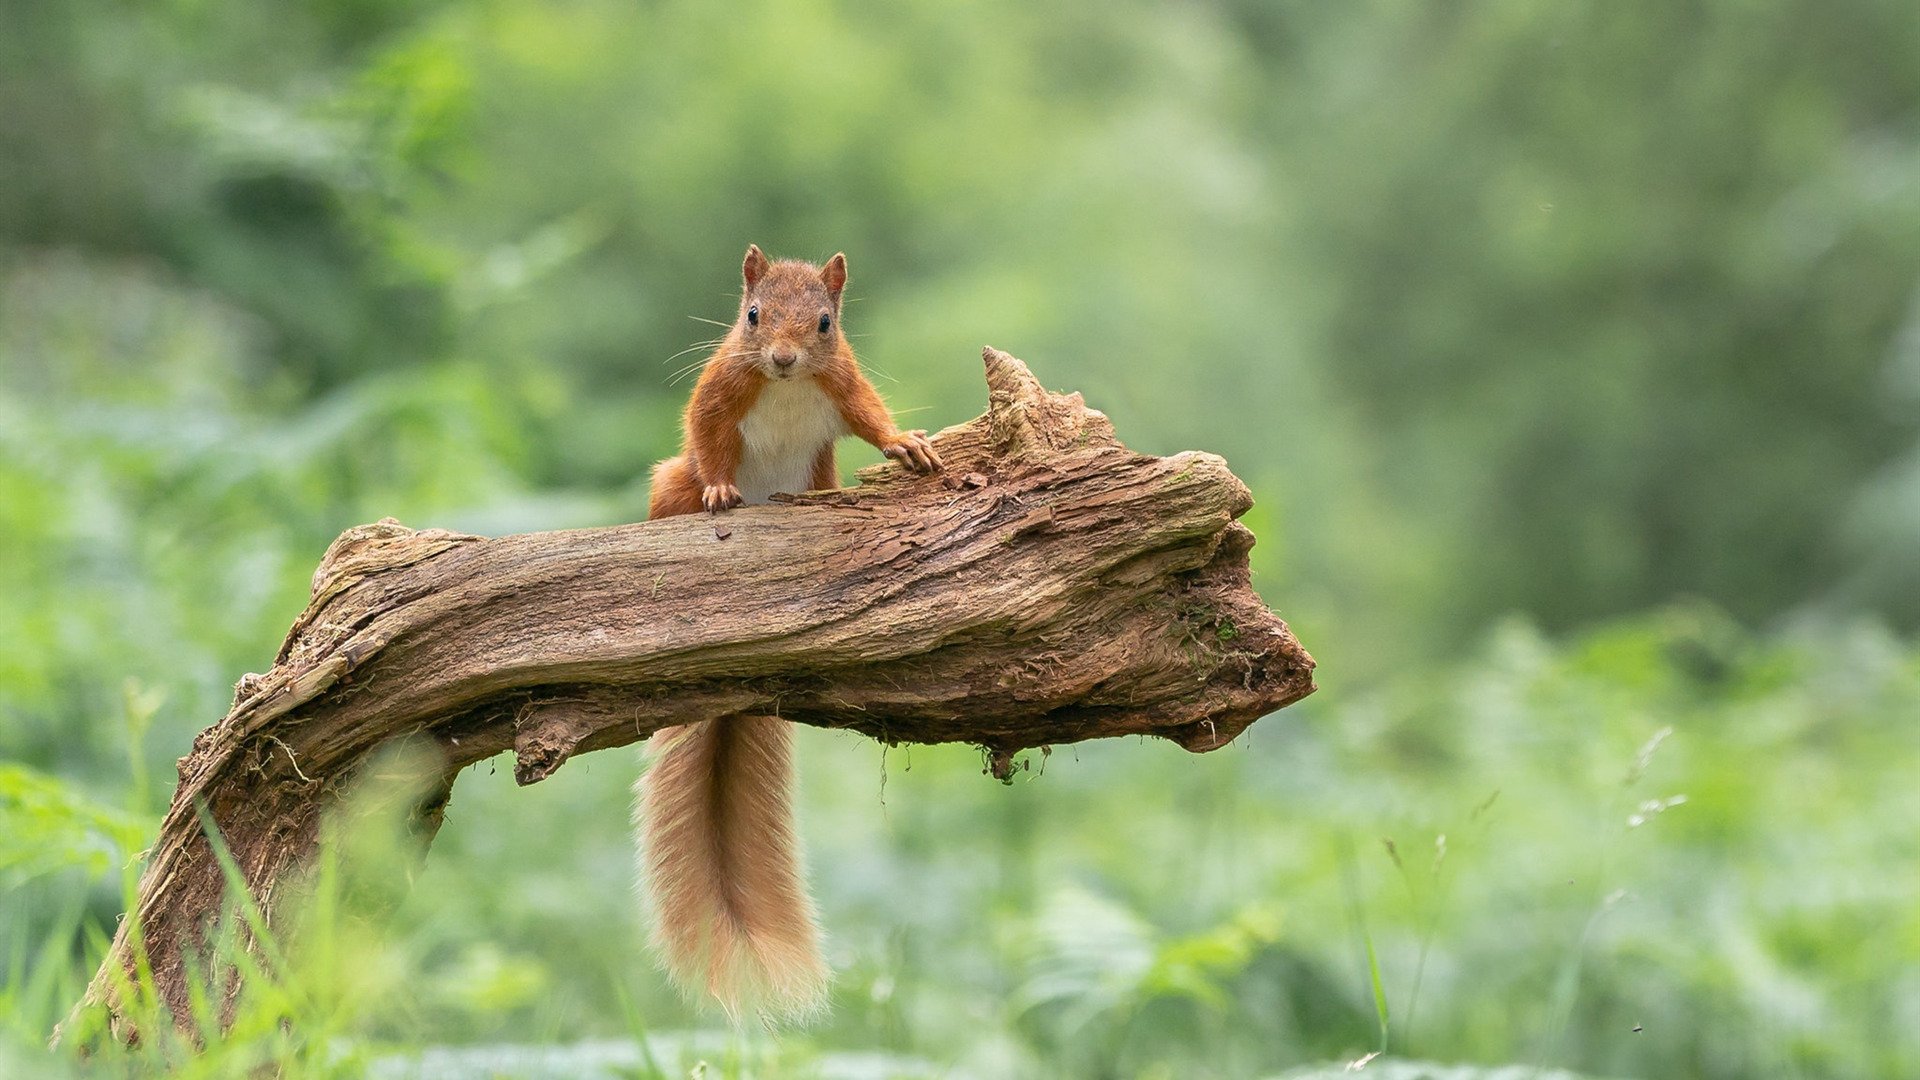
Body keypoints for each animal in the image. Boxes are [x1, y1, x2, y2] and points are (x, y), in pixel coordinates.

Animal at [641, 244, 940, 1014]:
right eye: (752, 315)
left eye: (825, 323)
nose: (780, 358)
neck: (784, 387)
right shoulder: (720, 388)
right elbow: (707, 433)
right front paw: (722, 489)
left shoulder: (845, 383)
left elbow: (872, 418)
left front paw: (908, 445)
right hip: (669, 481)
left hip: (819, 475)